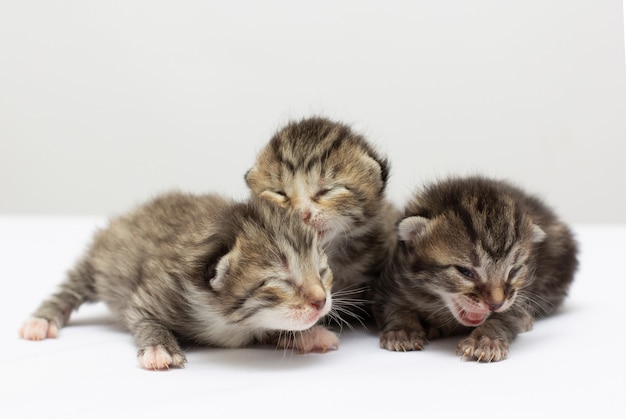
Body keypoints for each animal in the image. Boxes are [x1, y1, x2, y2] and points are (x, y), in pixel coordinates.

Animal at [18, 192, 336, 370]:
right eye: (282, 281)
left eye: (322, 272)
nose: (321, 301)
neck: (228, 322)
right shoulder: (154, 292)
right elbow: (145, 319)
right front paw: (160, 348)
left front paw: (307, 335)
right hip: (101, 261)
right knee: (71, 287)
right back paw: (42, 320)